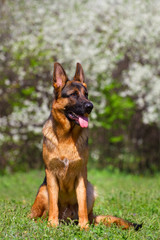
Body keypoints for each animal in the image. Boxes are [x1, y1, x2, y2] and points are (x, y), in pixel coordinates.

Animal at [29, 62, 141, 231]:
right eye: (73, 95)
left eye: (86, 94)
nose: (90, 106)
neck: (67, 138)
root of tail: (66, 218)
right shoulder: (51, 174)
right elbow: (54, 204)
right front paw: (52, 225)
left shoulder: (81, 176)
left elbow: (81, 204)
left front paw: (84, 227)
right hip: (43, 190)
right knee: (37, 215)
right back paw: (45, 222)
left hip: (90, 189)